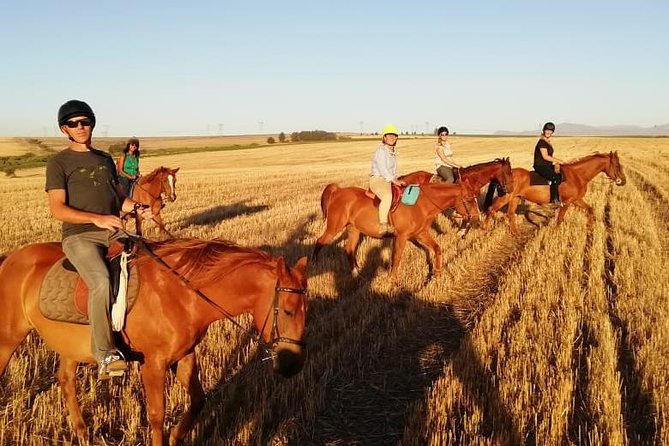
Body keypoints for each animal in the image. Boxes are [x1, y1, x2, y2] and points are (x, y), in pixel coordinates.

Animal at [0, 240, 308, 446]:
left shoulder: (184, 356)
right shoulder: (154, 365)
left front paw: (176, 437)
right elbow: (157, 415)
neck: (182, 294)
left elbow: (198, 400)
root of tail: (10, 259)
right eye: (288, 311)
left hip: (70, 346)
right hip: (8, 337)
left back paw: (83, 434)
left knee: (65, 380)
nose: (293, 364)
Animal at [310, 179, 478, 278]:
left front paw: (436, 274)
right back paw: (314, 265)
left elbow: (437, 249)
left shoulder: (421, 234)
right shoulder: (402, 236)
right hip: (334, 227)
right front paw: (392, 279)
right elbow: (396, 257)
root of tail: (338, 191)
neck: (421, 204)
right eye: (469, 199)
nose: (477, 219)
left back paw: (356, 272)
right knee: (320, 241)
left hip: (354, 229)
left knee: (349, 248)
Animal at [482, 151, 624, 233]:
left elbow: (590, 209)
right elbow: (560, 219)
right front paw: (555, 233)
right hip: (505, 197)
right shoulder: (567, 202)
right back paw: (484, 230)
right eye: (617, 165)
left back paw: (515, 234)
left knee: (510, 214)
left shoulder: (576, 200)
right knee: (491, 209)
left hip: (515, 198)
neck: (577, 175)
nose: (623, 181)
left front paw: (589, 229)